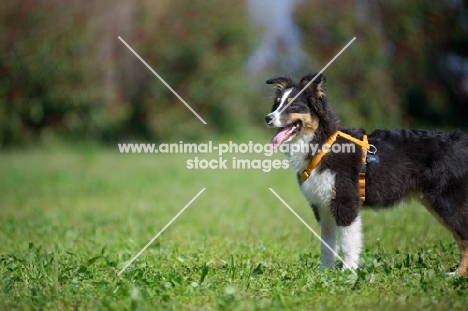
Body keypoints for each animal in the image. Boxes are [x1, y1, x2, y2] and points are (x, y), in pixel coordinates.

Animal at [266, 73, 468, 276]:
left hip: (446, 201)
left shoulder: (345, 202)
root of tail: (460, 140)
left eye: (293, 106)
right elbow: (327, 244)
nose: (268, 118)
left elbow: (347, 243)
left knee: (464, 237)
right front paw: (325, 272)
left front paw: (347, 272)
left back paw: (456, 275)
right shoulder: (323, 206)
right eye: (276, 104)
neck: (322, 145)